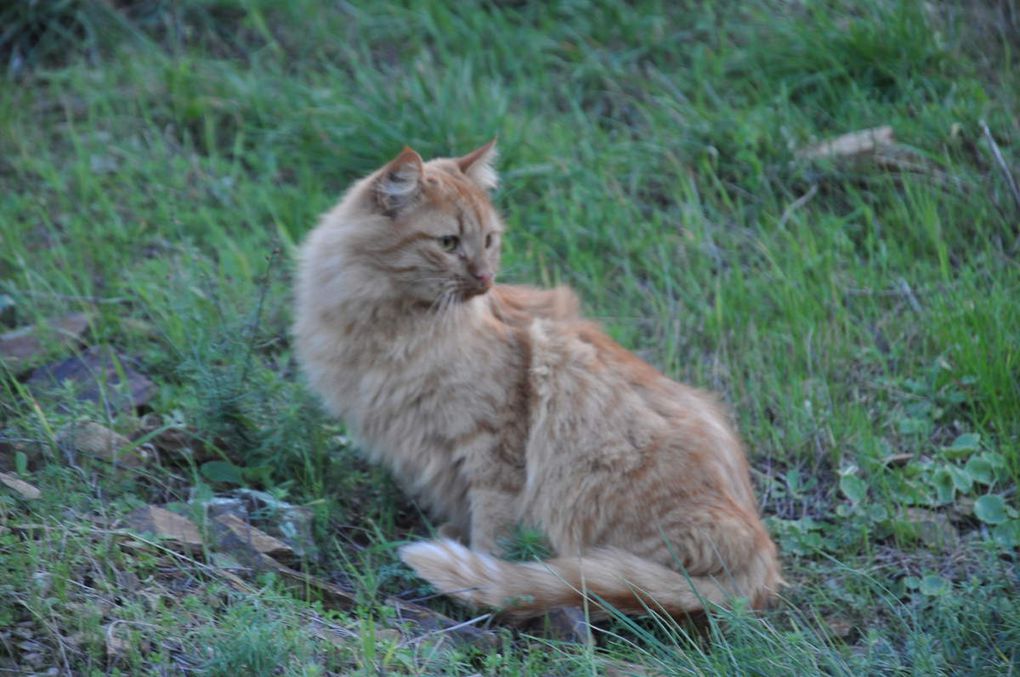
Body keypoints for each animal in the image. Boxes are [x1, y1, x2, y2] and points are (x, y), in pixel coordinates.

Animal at [293, 141, 779, 619]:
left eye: (489, 240)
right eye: (449, 243)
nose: (485, 278)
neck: (390, 328)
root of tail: (763, 564)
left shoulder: (493, 446)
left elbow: (493, 526)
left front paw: (482, 580)